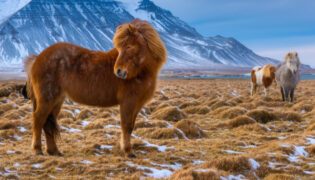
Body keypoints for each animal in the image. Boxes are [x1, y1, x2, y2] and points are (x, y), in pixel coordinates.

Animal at [24, 18, 168, 158]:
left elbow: (131, 127)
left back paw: (54, 151)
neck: (140, 72)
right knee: (38, 120)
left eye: (129, 46)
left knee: (48, 123)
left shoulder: (137, 104)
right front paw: (128, 152)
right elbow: (126, 126)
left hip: (57, 100)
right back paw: (37, 150)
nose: (119, 71)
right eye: (120, 48)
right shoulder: (128, 102)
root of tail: (38, 58)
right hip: (47, 99)